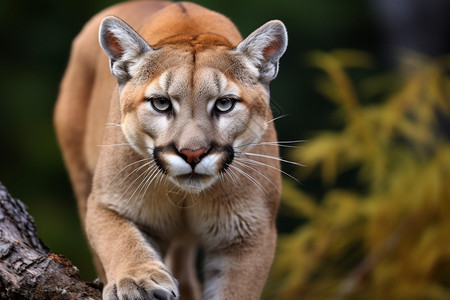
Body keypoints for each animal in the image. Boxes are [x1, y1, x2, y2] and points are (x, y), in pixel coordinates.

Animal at [54, 1, 288, 298]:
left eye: (224, 104)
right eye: (161, 103)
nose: (193, 153)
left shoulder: (249, 231)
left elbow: (236, 289)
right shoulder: (106, 202)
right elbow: (119, 239)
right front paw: (137, 281)